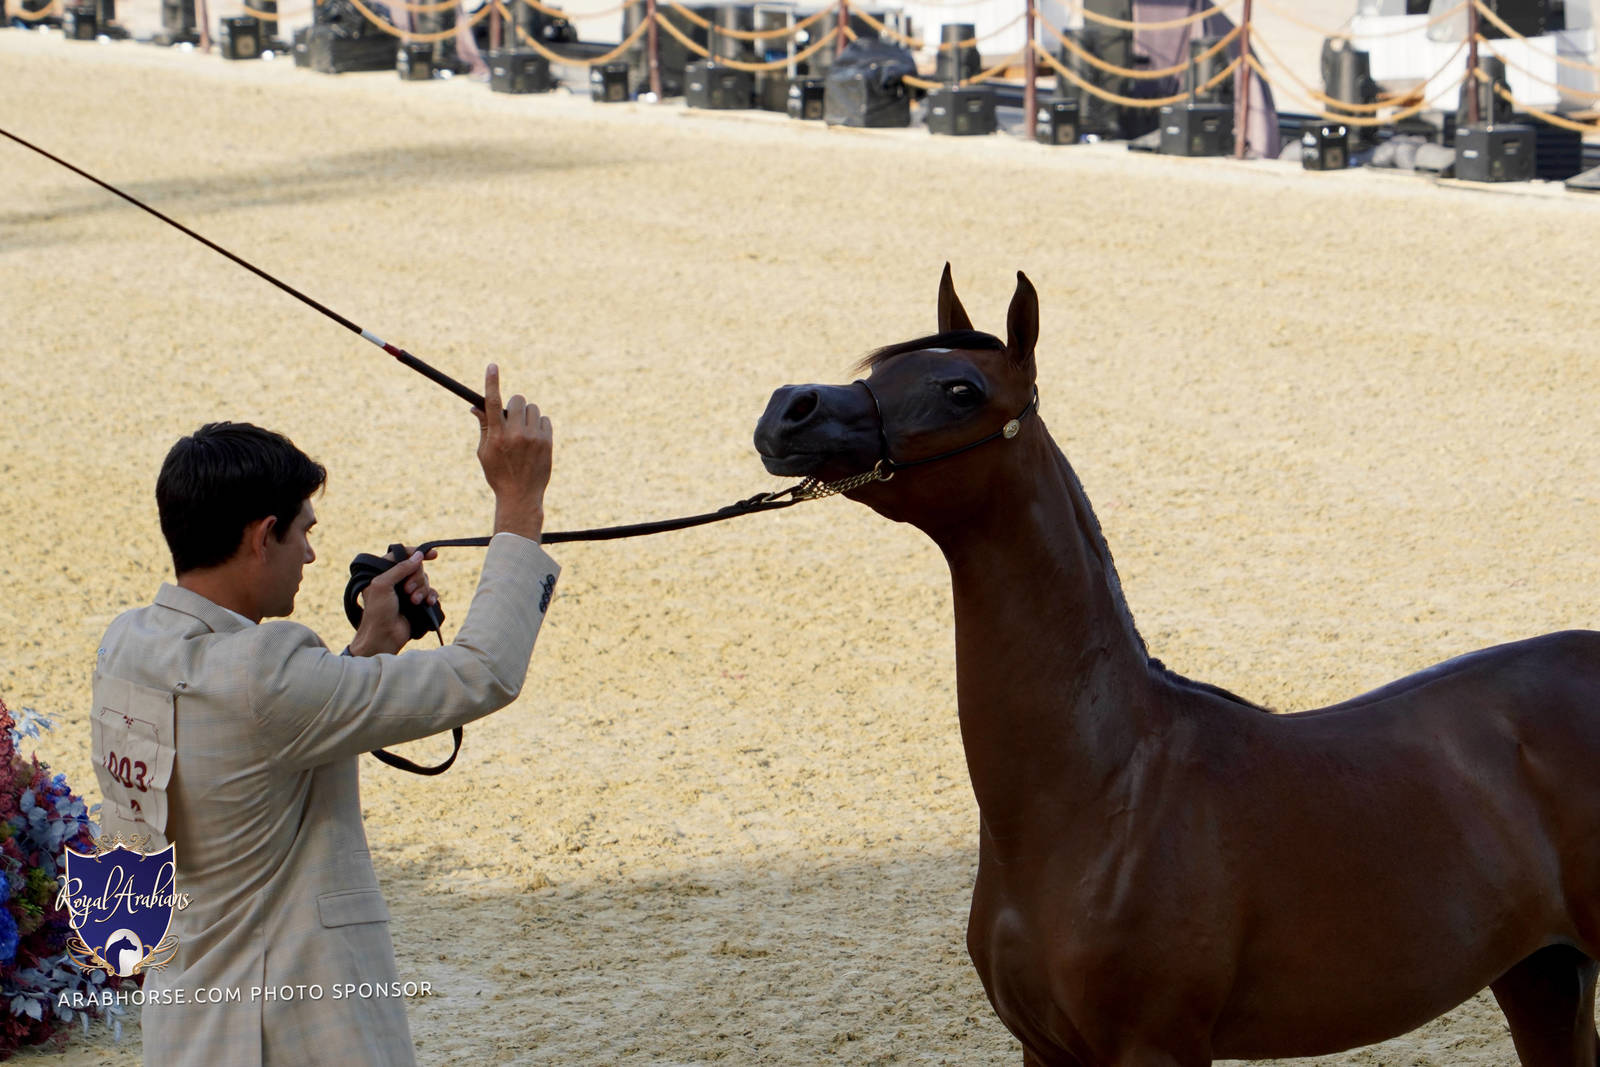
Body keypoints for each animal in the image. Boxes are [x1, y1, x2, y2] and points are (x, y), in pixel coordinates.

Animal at [752, 265, 1600, 1067]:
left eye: (962, 389)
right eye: (881, 368)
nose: (788, 408)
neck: (1102, 788)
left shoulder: (1156, 1044)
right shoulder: (1043, 1048)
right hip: (1541, 975)